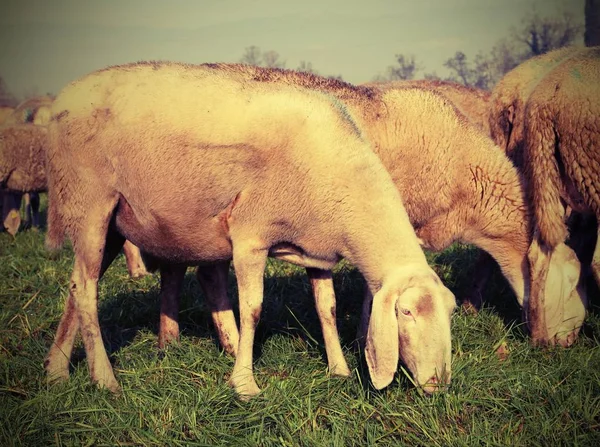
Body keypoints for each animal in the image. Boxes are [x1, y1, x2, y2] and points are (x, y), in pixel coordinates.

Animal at [43, 60, 454, 400]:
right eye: (406, 313)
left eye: (450, 311)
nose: (440, 382)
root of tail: (63, 98)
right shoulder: (250, 238)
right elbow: (252, 309)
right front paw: (245, 383)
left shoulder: (317, 249)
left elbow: (328, 308)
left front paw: (338, 369)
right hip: (90, 201)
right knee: (86, 290)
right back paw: (104, 379)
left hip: (113, 221)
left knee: (77, 285)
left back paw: (56, 371)